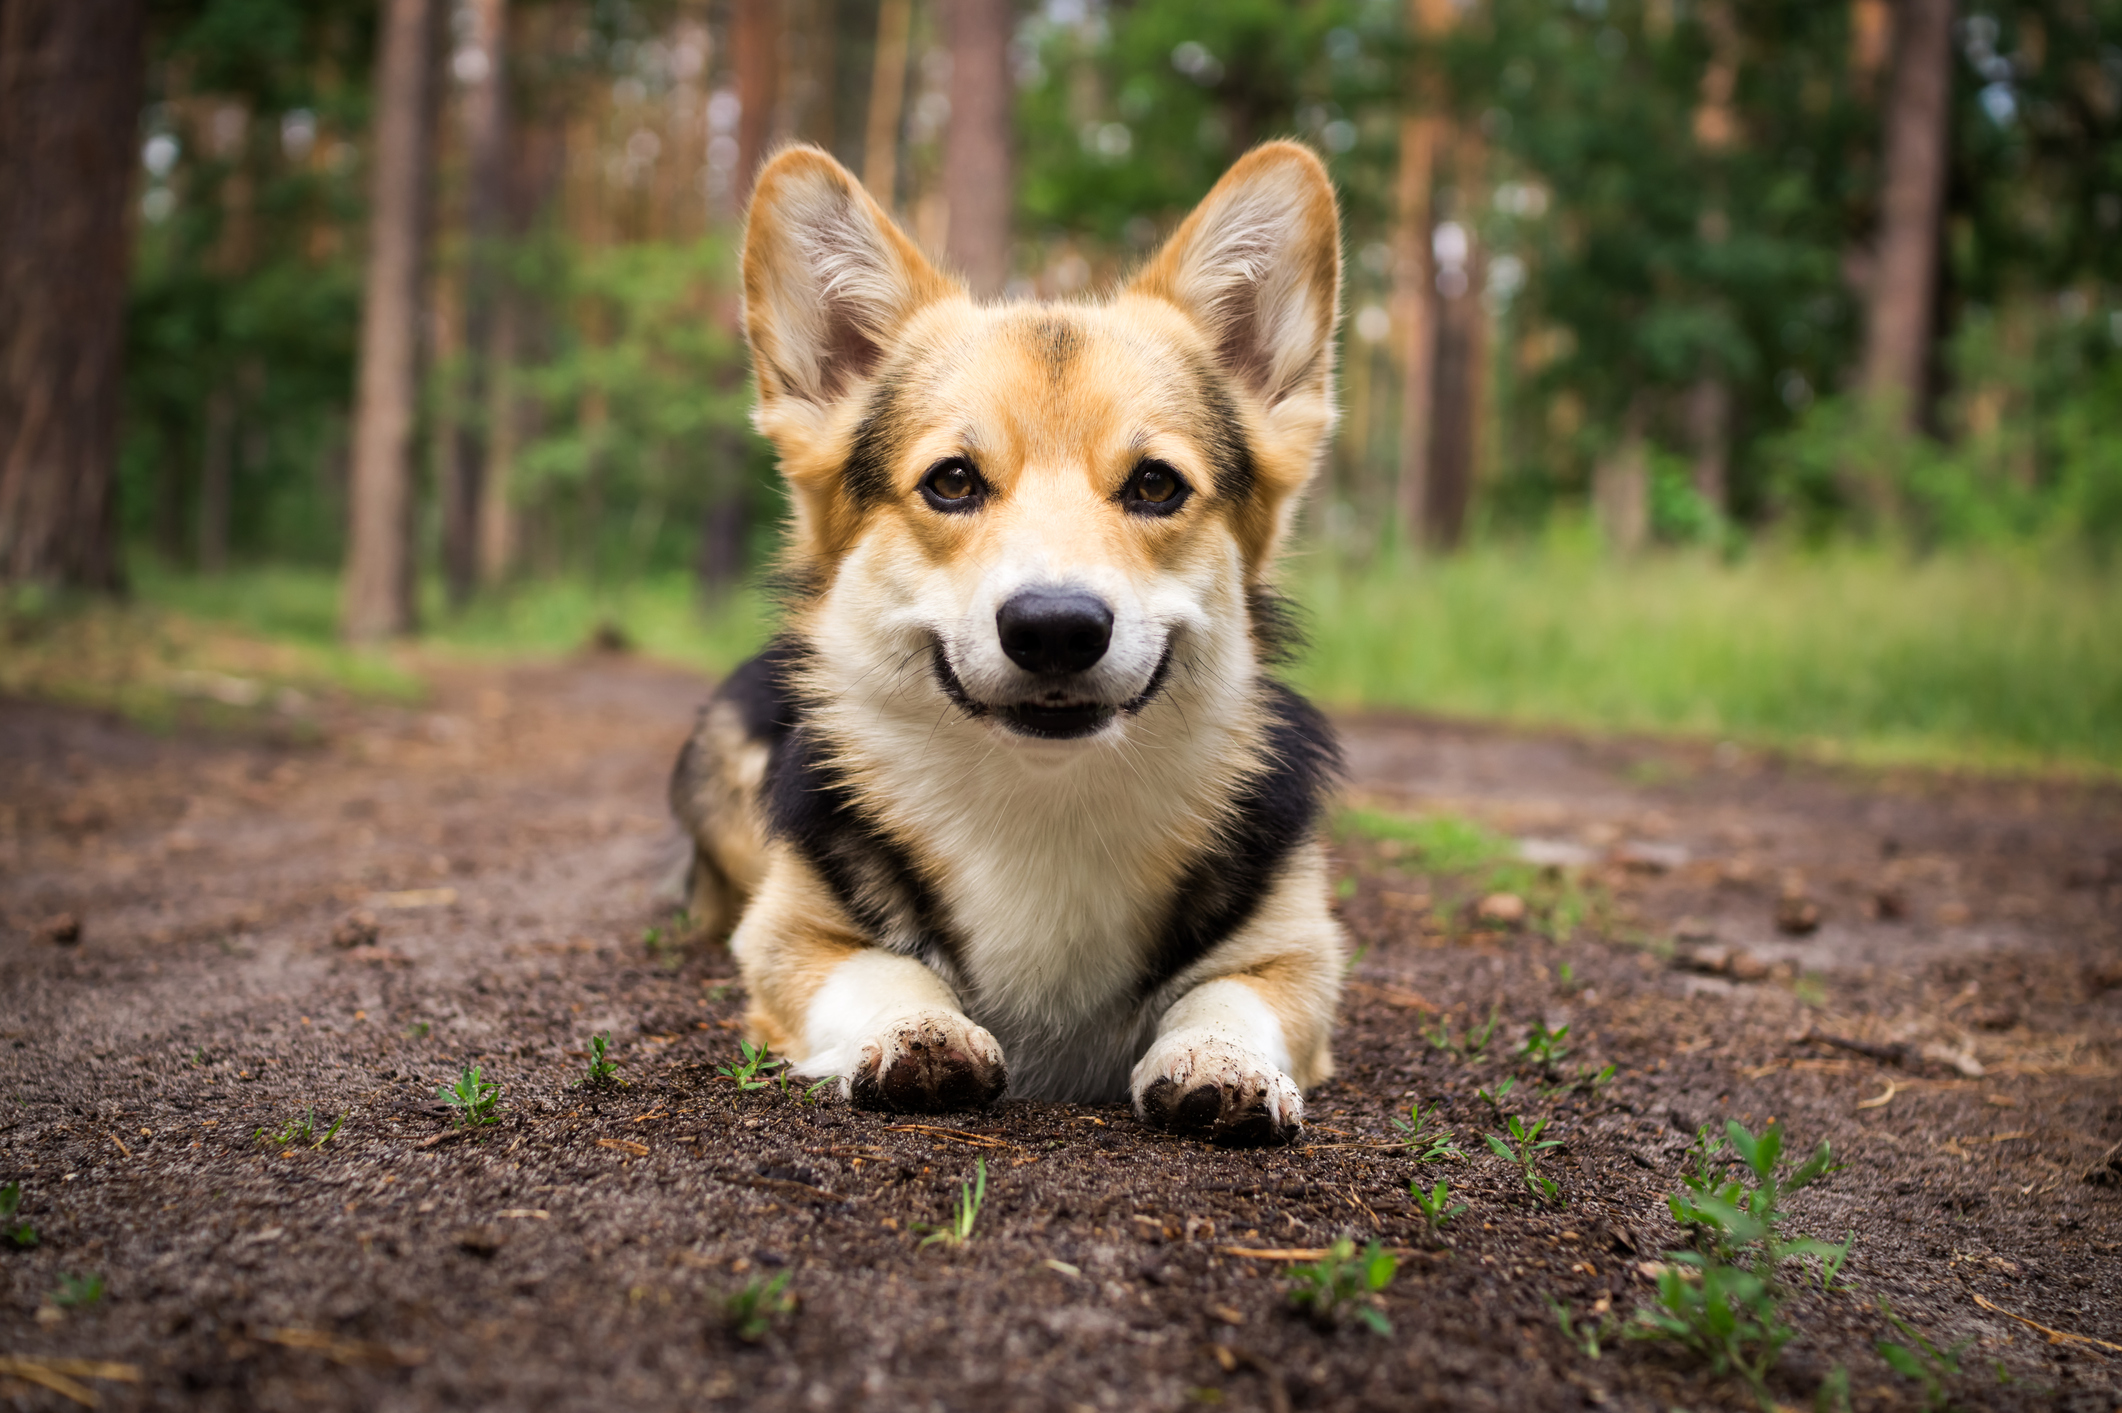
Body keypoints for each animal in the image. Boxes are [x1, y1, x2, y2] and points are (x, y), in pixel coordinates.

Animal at [670, 137, 1349, 1137]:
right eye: (952, 481)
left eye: (1156, 484)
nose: (1056, 628)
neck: (1044, 799)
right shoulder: (789, 937)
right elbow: (879, 968)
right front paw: (919, 1031)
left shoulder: (1298, 951)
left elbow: (1230, 995)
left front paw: (1220, 1061)